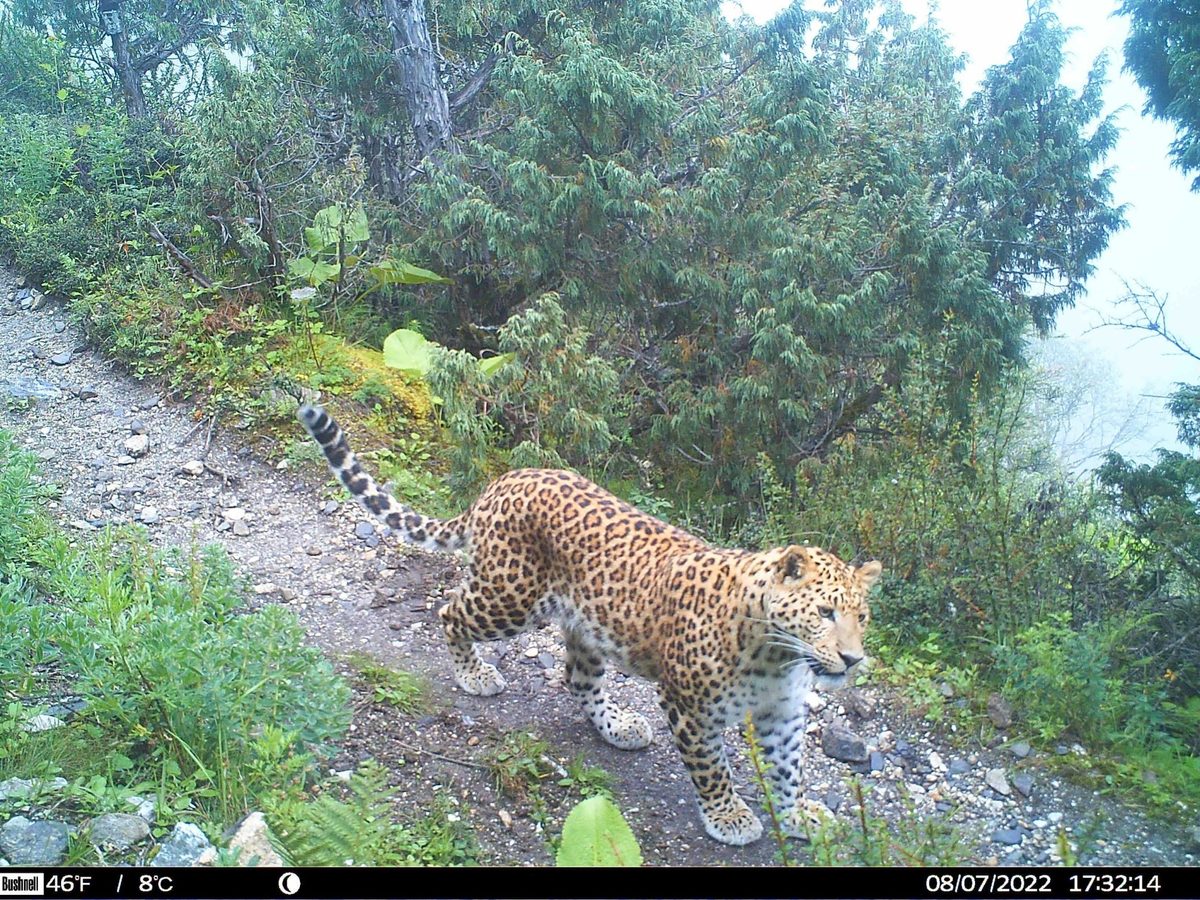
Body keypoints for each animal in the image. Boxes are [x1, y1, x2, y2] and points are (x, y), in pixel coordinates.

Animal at [298, 403, 881, 846]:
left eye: (862, 618)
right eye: (825, 613)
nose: (852, 659)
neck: (777, 658)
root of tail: (503, 480)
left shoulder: (783, 712)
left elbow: (789, 770)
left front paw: (799, 814)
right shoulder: (688, 705)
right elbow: (712, 766)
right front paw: (730, 816)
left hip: (585, 623)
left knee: (577, 679)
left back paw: (618, 726)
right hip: (511, 597)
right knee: (448, 612)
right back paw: (474, 674)